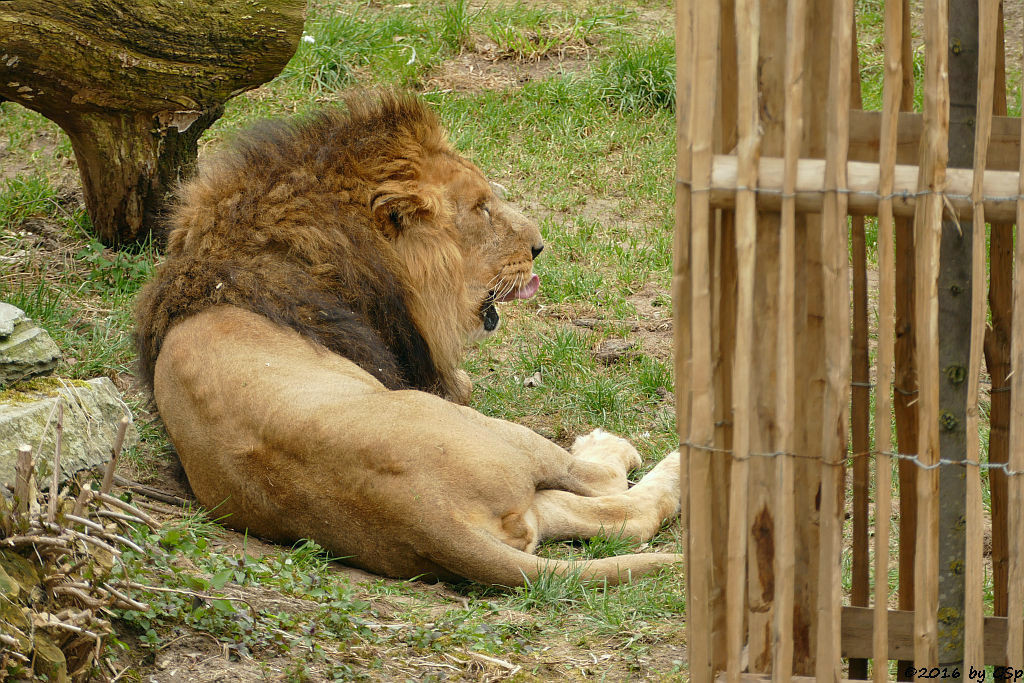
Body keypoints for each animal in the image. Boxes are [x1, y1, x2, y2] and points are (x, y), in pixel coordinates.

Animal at [134, 90, 679, 585]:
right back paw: (644, 457)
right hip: (490, 431)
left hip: (520, 509)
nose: (539, 247)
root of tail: (428, 520)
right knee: (608, 488)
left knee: (616, 519)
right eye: (481, 208)